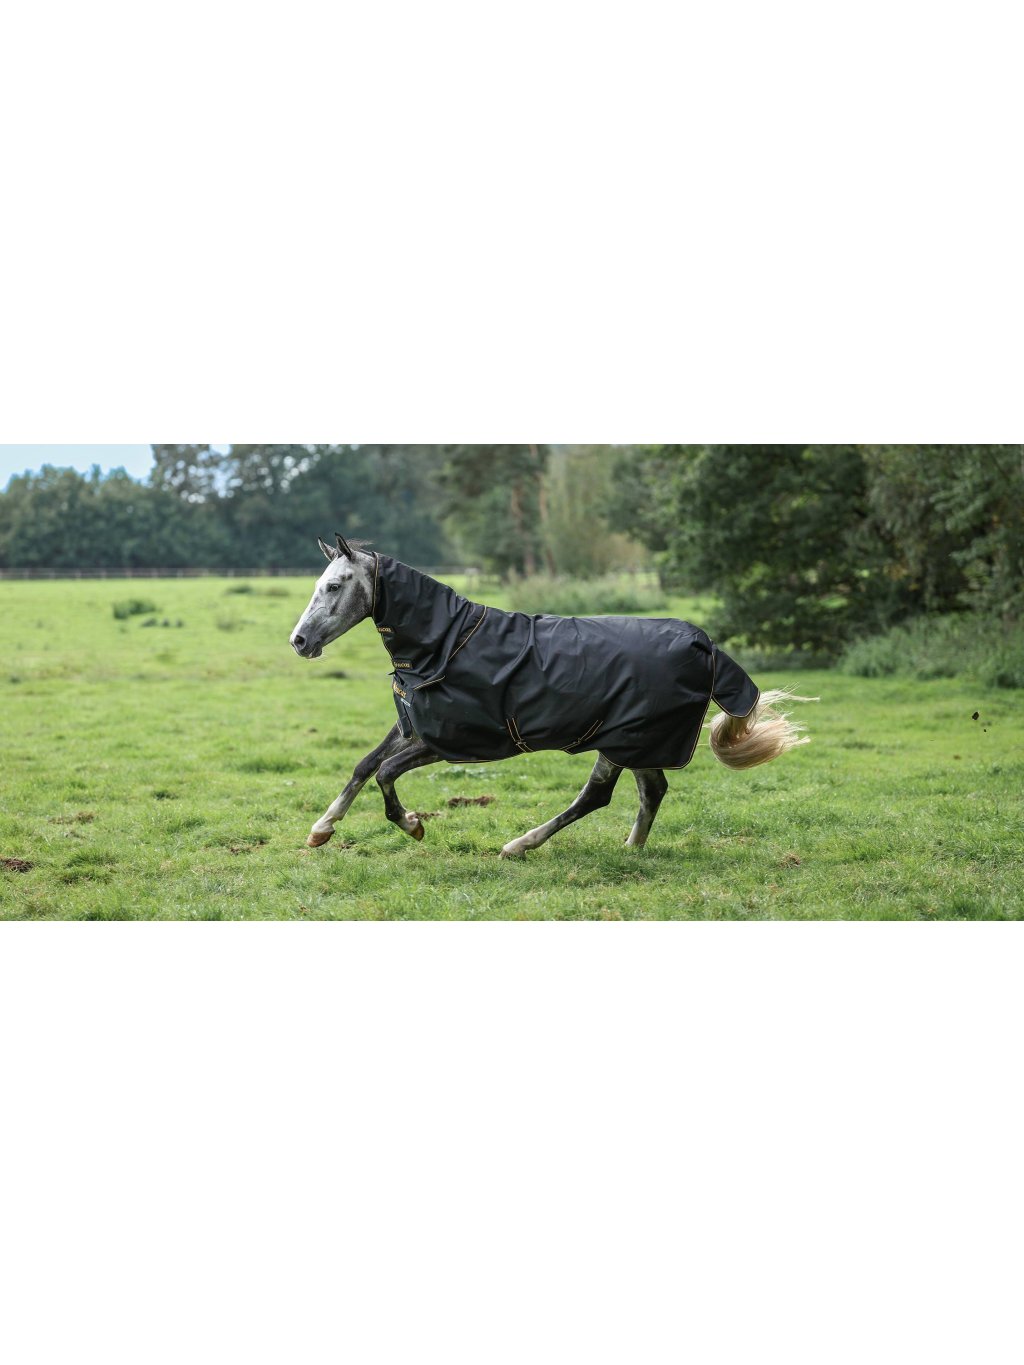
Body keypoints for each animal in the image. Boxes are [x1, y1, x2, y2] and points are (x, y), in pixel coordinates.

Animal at [289, 534, 815, 857]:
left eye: (334, 585)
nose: (299, 641)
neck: (445, 645)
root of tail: (706, 646)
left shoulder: (452, 740)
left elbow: (385, 773)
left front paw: (413, 824)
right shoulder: (417, 726)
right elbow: (364, 765)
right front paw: (320, 831)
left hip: (621, 740)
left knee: (597, 796)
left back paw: (520, 845)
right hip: (635, 741)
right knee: (651, 791)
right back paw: (631, 850)